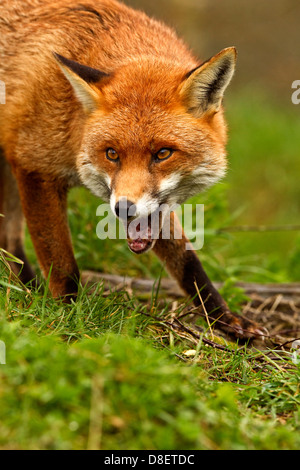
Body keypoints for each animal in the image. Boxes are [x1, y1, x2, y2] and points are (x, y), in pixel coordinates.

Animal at [0, 0, 262, 338]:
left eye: (162, 153)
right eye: (112, 154)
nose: (123, 208)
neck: (73, 125)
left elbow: (187, 261)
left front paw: (225, 318)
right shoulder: (34, 167)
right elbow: (63, 266)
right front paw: (67, 319)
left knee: (7, 241)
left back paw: (29, 291)